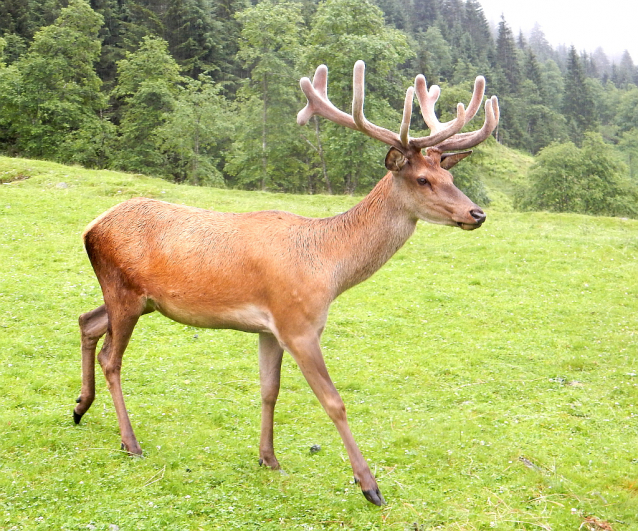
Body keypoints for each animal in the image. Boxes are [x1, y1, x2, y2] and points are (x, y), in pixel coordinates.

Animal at [74, 60, 500, 504]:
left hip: (140, 299)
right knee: (111, 357)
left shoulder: (269, 328)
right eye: (422, 180)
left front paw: (268, 458)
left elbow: (269, 389)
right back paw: (130, 442)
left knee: (86, 320)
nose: (476, 213)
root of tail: (90, 228)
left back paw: (80, 406)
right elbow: (333, 401)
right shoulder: (299, 324)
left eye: (449, 177)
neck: (329, 268)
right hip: (125, 291)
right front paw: (369, 484)